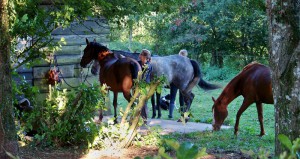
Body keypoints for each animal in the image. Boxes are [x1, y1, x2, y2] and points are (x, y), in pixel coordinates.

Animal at [90, 49, 219, 120]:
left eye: (98, 59)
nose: (93, 71)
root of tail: (189, 60)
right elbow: (152, 101)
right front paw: (153, 115)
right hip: (184, 87)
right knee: (188, 98)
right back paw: (184, 116)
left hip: (182, 86)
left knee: (189, 98)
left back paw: (183, 117)